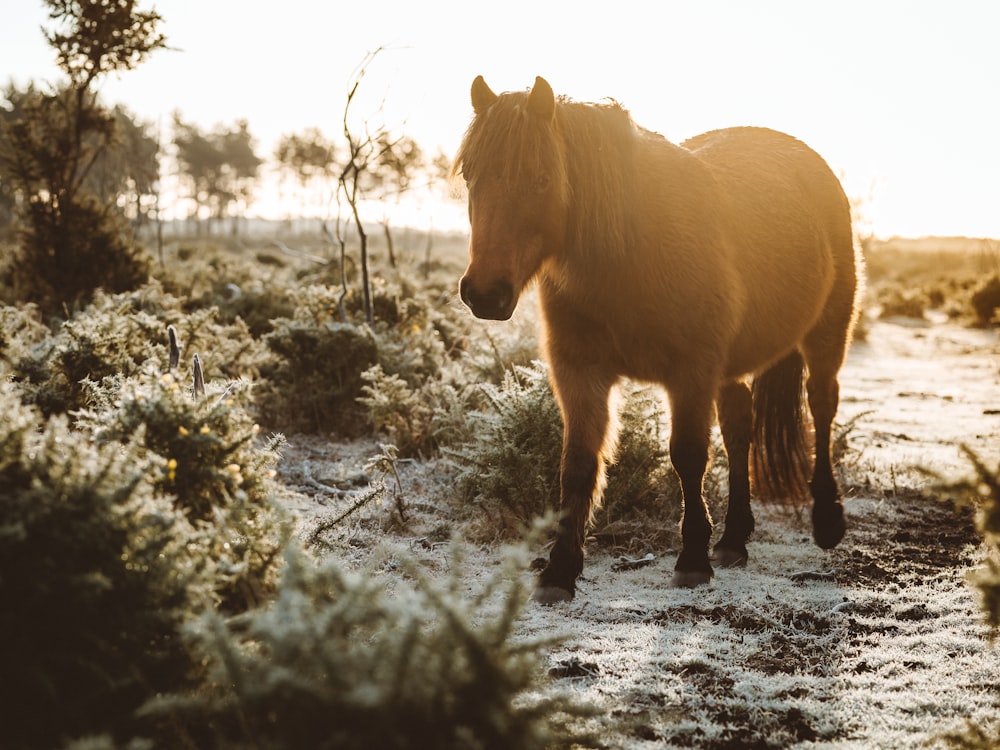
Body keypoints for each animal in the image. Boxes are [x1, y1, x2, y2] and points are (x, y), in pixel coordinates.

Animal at [454, 76, 860, 604]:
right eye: (470, 176)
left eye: (541, 179)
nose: (485, 293)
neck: (632, 250)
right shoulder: (579, 371)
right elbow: (578, 463)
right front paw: (560, 570)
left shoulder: (691, 373)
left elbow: (687, 456)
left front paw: (691, 560)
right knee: (740, 427)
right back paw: (734, 539)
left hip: (827, 333)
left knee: (822, 404)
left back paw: (827, 520)